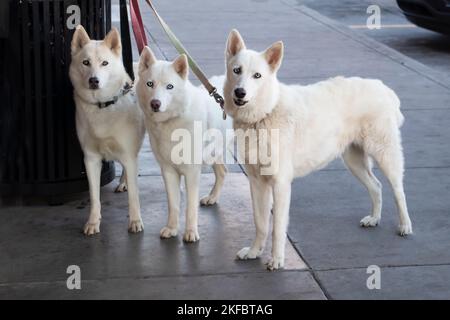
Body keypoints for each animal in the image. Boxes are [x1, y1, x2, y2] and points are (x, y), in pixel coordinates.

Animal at [69, 25, 145, 235]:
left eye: (104, 63)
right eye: (86, 62)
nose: (93, 80)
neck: (102, 105)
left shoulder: (128, 153)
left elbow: (134, 196)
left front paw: (135, 221)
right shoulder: (91, 158)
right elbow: (94, 196)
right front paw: (93, 222)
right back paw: (123, 181)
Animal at [223, 30, 414, 270]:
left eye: (257, 76)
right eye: (236, 70)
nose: (240, 92)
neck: (264, 113)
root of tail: (383, 88)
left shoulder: (280, 184)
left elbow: (277, 228)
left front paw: (276, 259)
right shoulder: (257, 182)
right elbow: (261, 223)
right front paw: (254, 251)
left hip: (385, 155)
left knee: (398, 191)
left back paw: (405, 225)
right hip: (354, 162)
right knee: (376, 186)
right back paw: (374, 218)